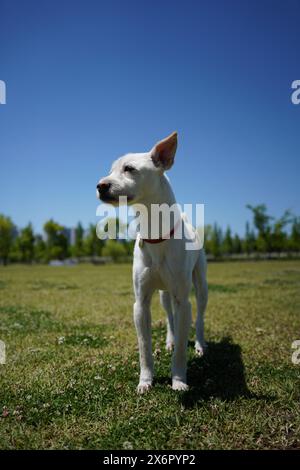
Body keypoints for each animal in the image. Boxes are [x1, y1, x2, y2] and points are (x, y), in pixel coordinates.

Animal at [97, 132, 207, 392]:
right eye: (111, 169)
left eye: (129, 169)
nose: (100, 185)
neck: (155, 234)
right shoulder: (141, 302)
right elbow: (144, 346)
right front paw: (145, 381)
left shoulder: (183, 299)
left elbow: (181, 349)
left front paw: (179, 380)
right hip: (163, 294)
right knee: (169, 316)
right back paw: (170, 340)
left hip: (201, 285)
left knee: (198, 317)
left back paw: (199, 345)